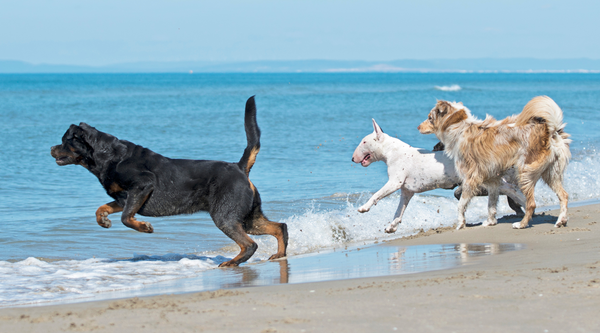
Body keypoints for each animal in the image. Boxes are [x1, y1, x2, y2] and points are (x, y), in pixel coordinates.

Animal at [49, 95, 288, 264]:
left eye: (64, 140)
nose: (51, 148)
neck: (108, 156)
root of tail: (239, 167)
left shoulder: (142, 186)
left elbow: (126, 218)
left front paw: (144, 227)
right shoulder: (123, 198)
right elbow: (102, 208)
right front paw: (103, 220)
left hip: (226, 216)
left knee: (249, 244)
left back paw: (231, 263)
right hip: (247, 217)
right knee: (279, 227)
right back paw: (279, 254)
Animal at [352, 118, 524, 232]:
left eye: (364, 142)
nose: (352, 159)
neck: (392, 151)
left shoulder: (395, 182)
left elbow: (377, 195)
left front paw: (364, 207)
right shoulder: (407, 191)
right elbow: (399, 210)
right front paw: (392, 226)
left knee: (511, 189)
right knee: (510, 189)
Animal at [418, 96, 572, 228]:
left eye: (429, 117)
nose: (418, 127)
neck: (459, 127)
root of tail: (550, 131)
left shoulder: (470, 178)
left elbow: (461, 205)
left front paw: (461, 223)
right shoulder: (492, 180)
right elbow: (491, 204)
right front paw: (490, 222)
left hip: (524, 173)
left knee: (532, 204)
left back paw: (521, 224)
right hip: (551, 174)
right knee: (564, 195)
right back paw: (561, 221)